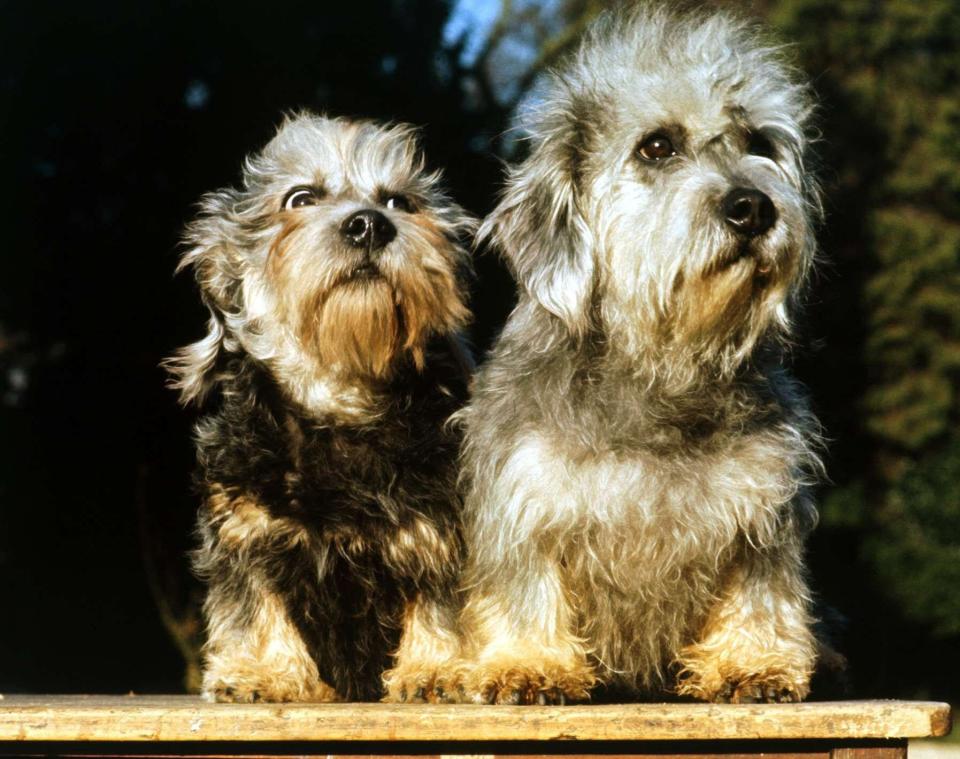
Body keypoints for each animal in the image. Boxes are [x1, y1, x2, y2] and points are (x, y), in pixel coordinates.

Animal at [170, 110, 476, 704]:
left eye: (400, 201)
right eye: (300, 198)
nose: (370, 225)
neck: (339, 401)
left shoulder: (442, 532)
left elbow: (443, 607)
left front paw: (437, 669)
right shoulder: (246, 535)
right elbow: (256, 610)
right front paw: (263, 672)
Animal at [456, 5, 824, 708]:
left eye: (759, 142)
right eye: (657, 146)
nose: (753, 207)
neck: (662, 366)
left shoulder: (762, 505)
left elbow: (763, 588)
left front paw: (752, 661)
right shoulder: (522, 496)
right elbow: (524, 585)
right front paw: (529, 661)